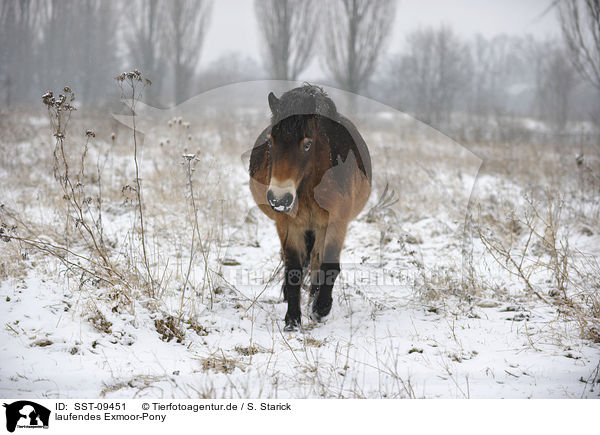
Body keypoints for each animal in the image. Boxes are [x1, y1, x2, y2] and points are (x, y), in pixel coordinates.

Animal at [248, 84, 370, 330]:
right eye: (271, 141)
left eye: (307, 144)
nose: (279, 199)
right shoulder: (288, 224)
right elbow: (293, 269)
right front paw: (292, 320)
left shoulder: (337, 222)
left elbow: (329, 266)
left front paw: (320, 309)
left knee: (316, 260)